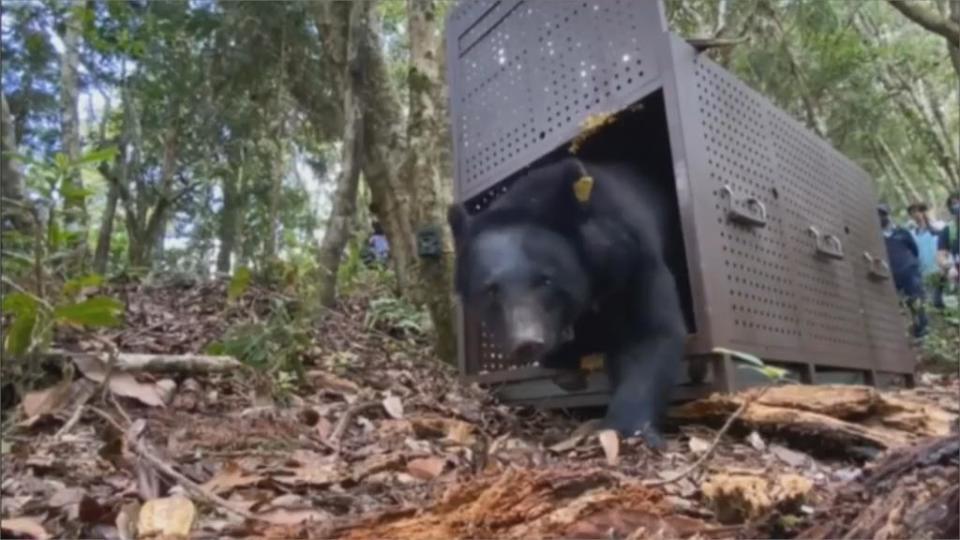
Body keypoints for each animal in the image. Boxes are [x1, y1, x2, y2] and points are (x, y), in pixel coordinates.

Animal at [446, 153, 688, 448]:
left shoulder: (634, 257)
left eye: (546, 280)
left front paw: (628, 429)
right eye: (490, 290)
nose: (526, 342)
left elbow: (650, 333)